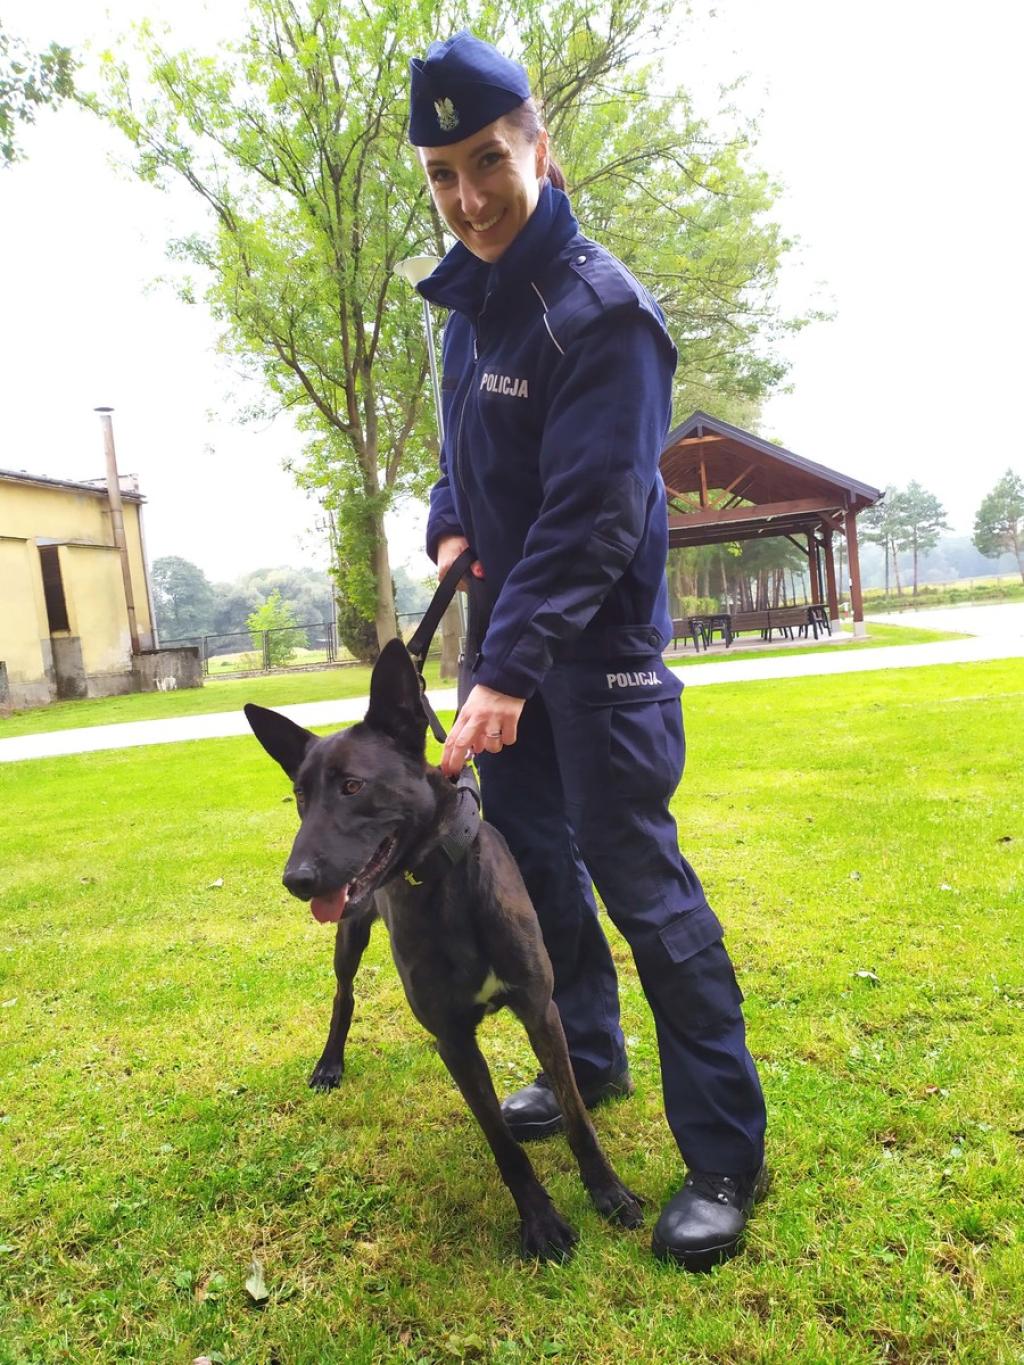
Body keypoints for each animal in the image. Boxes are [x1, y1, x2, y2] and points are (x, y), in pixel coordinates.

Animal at [244, 638, 643, 1260]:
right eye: (299, 798)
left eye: (353, 786)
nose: (297, 880)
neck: (439, 885)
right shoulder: (454, 1041)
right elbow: (503, 1142)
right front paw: (541, 1222)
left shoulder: (540, 1010)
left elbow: (578, 1114)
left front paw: (608, 1192)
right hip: (350, 935)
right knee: (343, 996)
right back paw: (330, 1063)